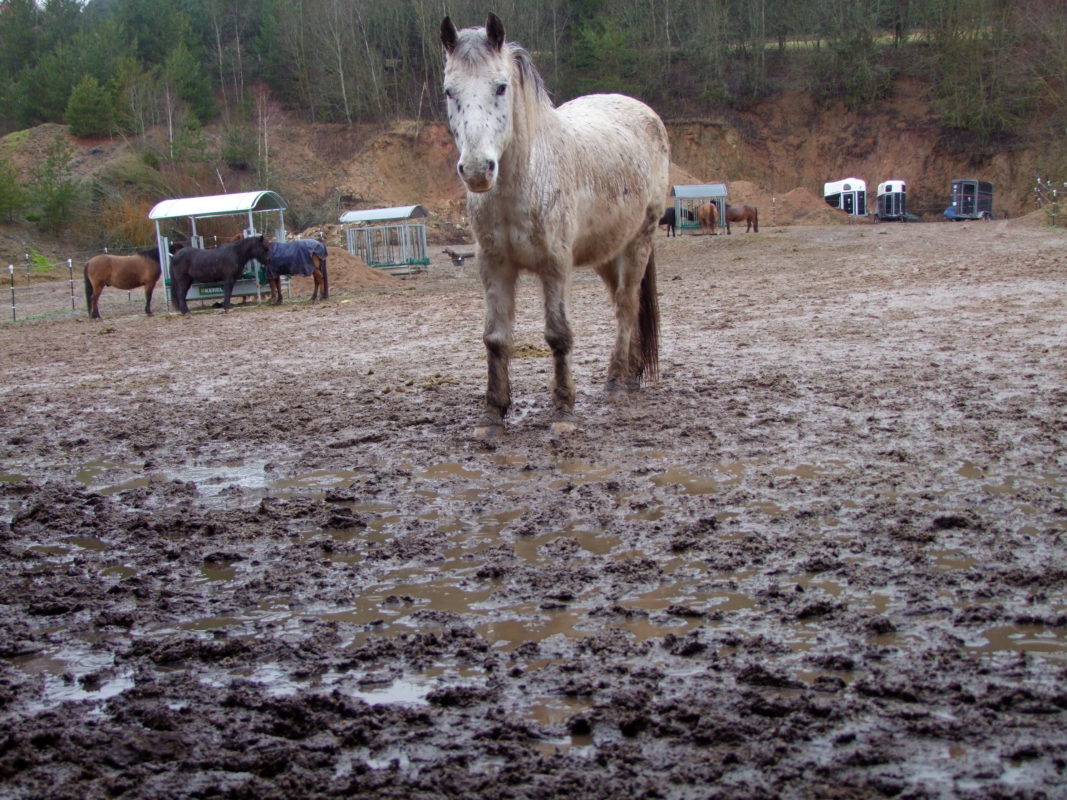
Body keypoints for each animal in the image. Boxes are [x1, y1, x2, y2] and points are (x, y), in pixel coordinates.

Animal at [439, 12, 665, 439]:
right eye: (448, 92)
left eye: (501, 87)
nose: (477, 170)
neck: (523, 180)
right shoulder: (494, 265)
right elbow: (495, 339)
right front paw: (492, 414)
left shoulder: (555, 265)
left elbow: (558, 335)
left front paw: (563, 411)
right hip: (606, 254)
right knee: (621, 306)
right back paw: (629, 375)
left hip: (639, 241)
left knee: (627, 306)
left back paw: (618, 384)